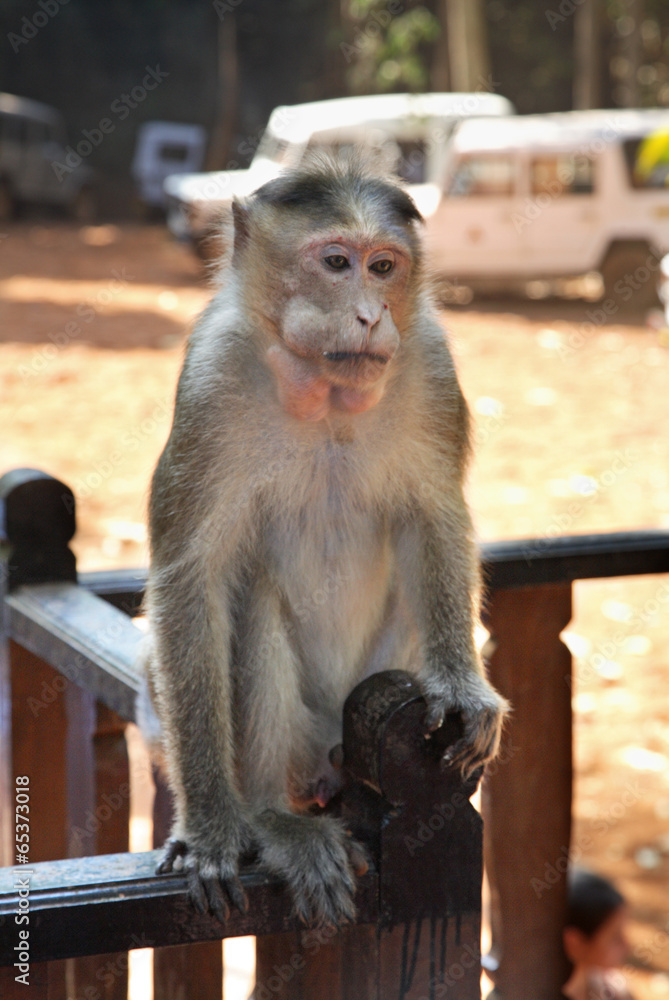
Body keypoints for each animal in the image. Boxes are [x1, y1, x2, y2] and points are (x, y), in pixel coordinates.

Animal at [140, 155, 509, 930]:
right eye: (336, 263)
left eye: (383, 266)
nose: (370, 315)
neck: (326, 395)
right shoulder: (211, 381)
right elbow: (193, 579)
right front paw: (211, 827)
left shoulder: (429, 362)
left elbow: (434, 517)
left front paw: (462, 686)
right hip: (297, 739)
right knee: (251, 604)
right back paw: (272, 820)